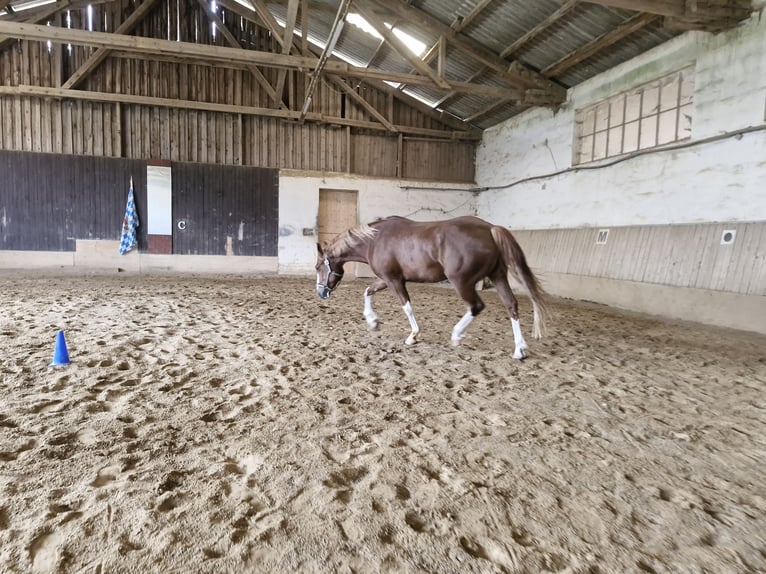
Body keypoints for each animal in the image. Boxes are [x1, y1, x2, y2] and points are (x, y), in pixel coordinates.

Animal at [315, 215, 547, 359]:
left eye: (318, 267)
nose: (321, 293)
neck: (375, 239)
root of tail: (489, 229)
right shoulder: (386, 279)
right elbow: (367, 292)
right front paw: (373, 322)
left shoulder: (394, 280)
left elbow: (407, 307)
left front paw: (412, 336)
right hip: (498, 276)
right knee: (511, 305)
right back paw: (519, 350)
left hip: (461, 281)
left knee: (476, 306)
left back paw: (456, 335)